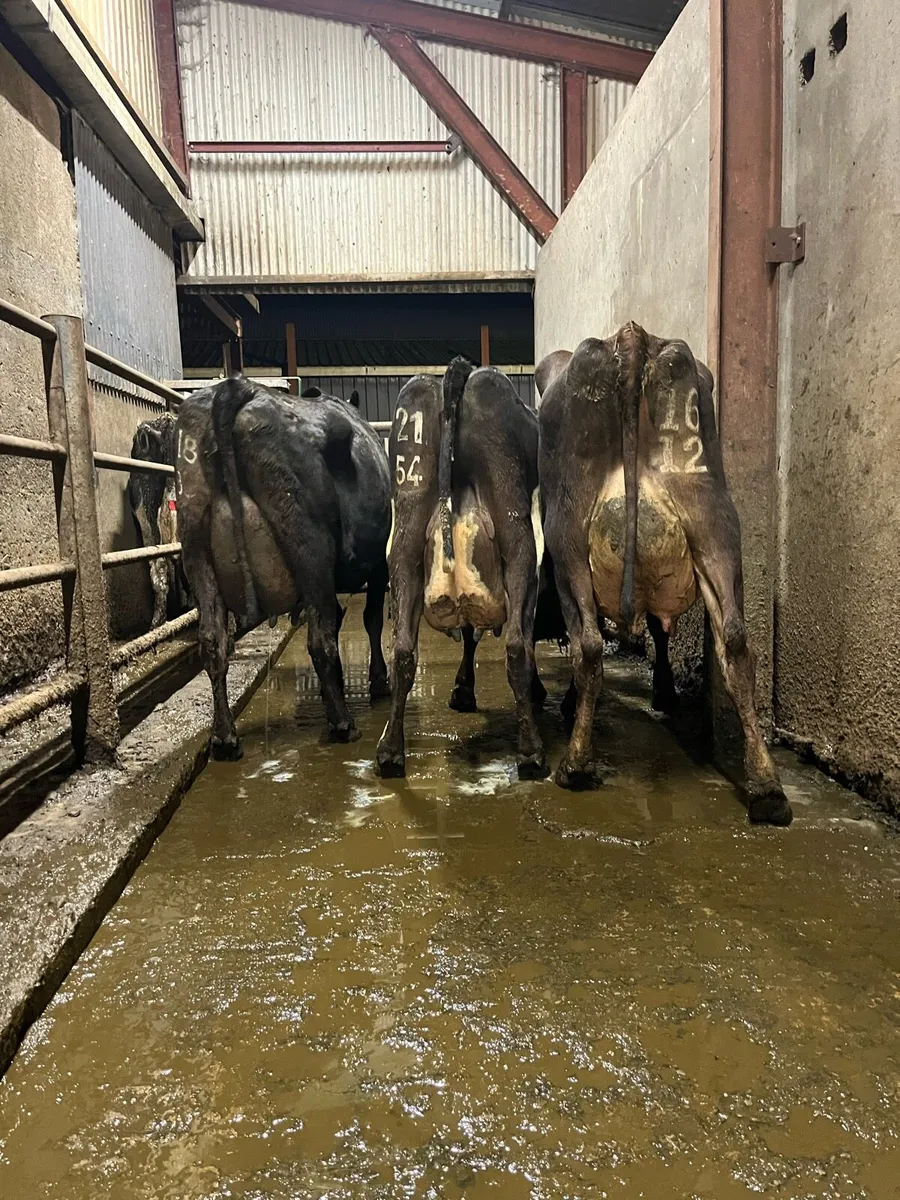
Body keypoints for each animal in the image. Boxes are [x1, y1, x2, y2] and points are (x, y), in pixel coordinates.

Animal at [175, 377, 391, 758]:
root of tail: (236, 388)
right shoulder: (378, 562)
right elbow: (371, 620)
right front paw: (378, 681)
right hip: (309, 544)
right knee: (320, 637)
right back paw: (343, 724)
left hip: (196, 547)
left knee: (212, 643)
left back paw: (225, 738)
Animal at [376, 359, 558, 781]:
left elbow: (470, 631)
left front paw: (462, 690)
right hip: (518, 536)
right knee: (516, 647)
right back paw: (531, 752)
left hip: (406, 533)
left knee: (403, 651)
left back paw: (390, 752)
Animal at [536, 322, 792, 826]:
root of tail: (632, 337)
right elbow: (660, 627)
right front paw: (665, 691)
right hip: (715, 523)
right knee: (736, 643)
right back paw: (767, 787)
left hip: (569, 540)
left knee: (588, 645)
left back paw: (575, 764)